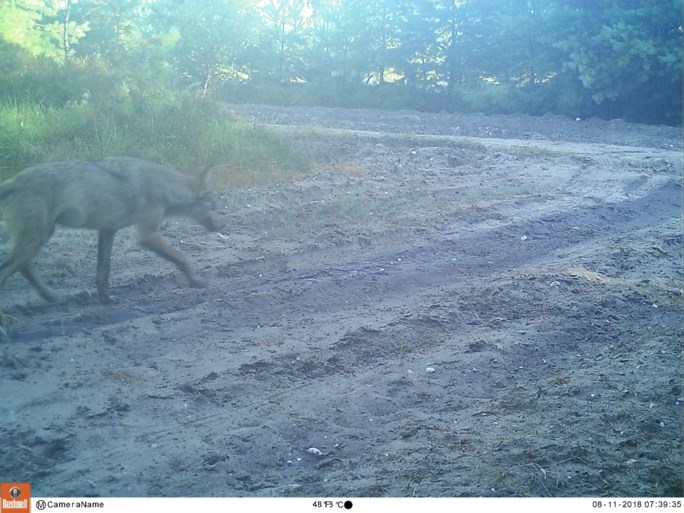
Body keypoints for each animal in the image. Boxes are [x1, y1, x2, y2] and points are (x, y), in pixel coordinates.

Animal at [0, 156, 224, 306]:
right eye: (215, 205)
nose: (223, 225)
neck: (165, 187)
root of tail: (13, 181)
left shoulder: (108, 230)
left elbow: (103, 271)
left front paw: (105, 300)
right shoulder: (147, 236)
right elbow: (182, 259)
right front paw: (196, 281)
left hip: (40, 238)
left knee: (24, 267)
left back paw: (52, 296)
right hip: (35, 240)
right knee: (8, 270)